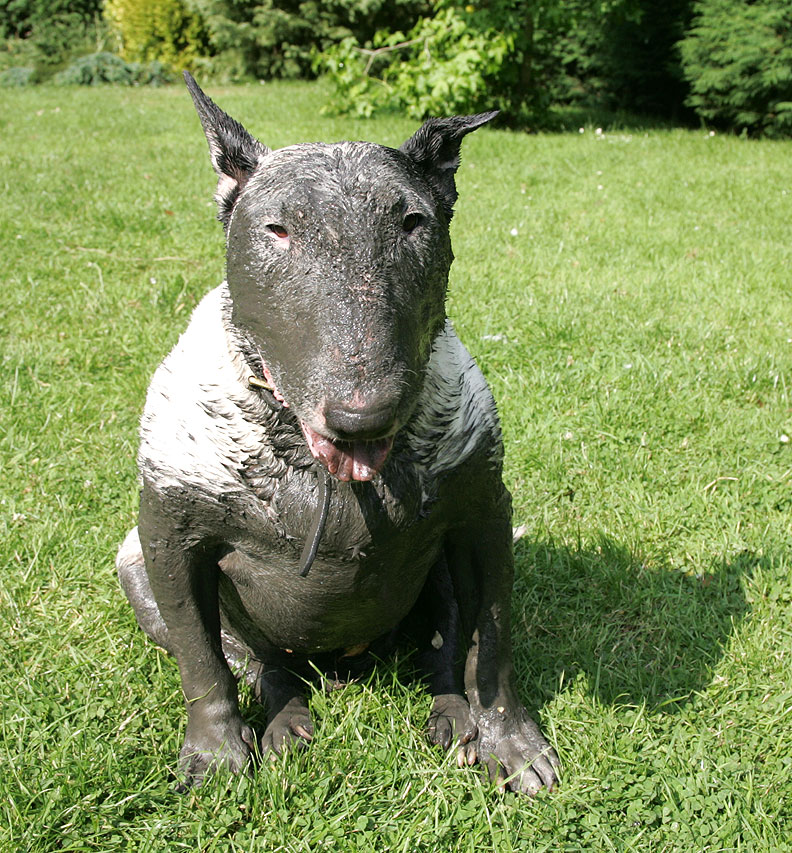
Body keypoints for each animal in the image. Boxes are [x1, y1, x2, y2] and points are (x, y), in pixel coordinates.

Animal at [114, 70, 560, 796]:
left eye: (413, 221)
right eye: (277, 229)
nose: (362, 416)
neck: (313, 461)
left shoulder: (484, 519)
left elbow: (490, 646)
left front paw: (513, 743)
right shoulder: (169, 538)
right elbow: (201, 663)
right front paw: (214, 752)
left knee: (443, 648)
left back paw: (453, 715)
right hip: (135, 568)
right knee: (258, 662)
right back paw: (286, 716)